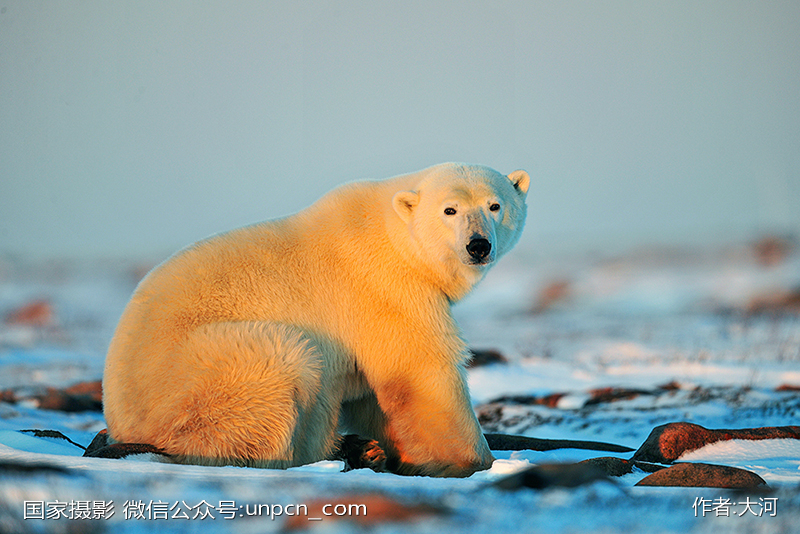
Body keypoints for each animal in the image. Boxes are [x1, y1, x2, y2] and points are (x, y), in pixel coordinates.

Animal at [103, 162, 528, 478]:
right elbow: (420, 370)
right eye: (449, 210)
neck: (395, 235)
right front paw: (474, 461)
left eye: (495, 206)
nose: (478, 245)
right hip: (198, 377)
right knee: (283, 360)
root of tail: (121, 416)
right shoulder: (384, 286)